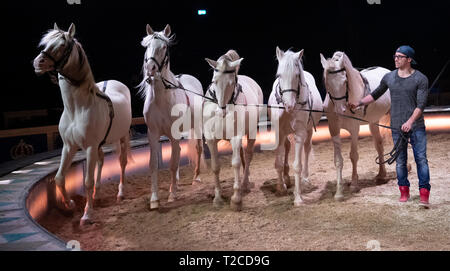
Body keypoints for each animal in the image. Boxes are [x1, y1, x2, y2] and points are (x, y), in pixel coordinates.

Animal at [33, 23, 132, 226]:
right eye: (45, 43)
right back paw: (97, 194)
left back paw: (120, 192)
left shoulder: (89, 147)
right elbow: (59, 178)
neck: (76, 109)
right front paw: (70, 204)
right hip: (103, 143)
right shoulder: (69, 146)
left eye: (63, 45)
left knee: (122, 161)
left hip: (122, 137)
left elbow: (87, 181)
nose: (38, 62)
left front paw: (87, 215)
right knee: (102, 161)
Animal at [138, 24, 205, 211]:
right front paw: (154, 199)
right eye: (147, 46)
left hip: (196, 127)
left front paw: (172, 194)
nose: (150, 69)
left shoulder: (174, 133)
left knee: (197, 149)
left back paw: (196, 177)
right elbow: (153, 165)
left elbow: (173, 163)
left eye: (163, 47)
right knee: (179, 151)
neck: (161, 98)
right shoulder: (153, 134)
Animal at [204, 50, 264, 211]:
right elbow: (215, 166)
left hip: (251, 133)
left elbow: (236, 163)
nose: (221, 112)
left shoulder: (236, 137)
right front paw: (218, 198)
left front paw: (236, 199)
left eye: (232, 83)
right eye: (214, 81)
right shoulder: (211, 139)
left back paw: (244, 184)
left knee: (248, 156)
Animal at [268, 48, 322, 206]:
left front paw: (298, 197)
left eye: (297, 75)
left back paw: (305, 180)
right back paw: (286, 178)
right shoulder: (279, 133)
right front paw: (281, 187)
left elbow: (297, 165)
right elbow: (278, 163)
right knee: (286, 147)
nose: (289, 105)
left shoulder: (300, 134)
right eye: (279, 75)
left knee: (307, 149)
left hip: (308, 131)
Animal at [320, 51, 390, 201]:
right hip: (373, 122)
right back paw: (381, 175)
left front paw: (353, 184)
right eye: (326, 82)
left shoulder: (354, 129)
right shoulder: (333, 129)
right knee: (379, 145)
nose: (340, 110)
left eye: (345, 81)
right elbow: (338, 160)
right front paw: (339, 192)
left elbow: (353, 156)